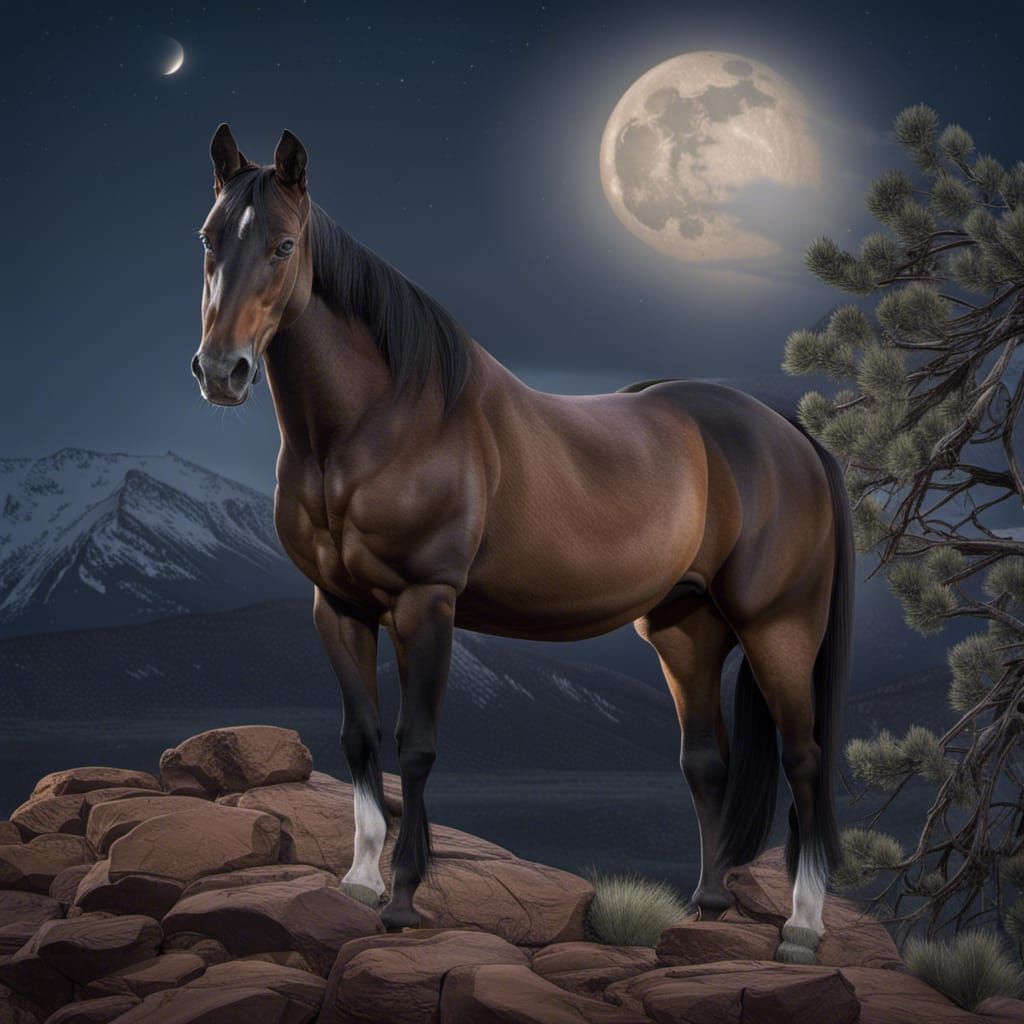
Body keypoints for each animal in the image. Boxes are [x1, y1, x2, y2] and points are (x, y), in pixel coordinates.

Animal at [191, 124, 853, 964]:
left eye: (282, 245)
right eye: (209, 238)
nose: (221, 370)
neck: (378, 421)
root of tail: (792, 436)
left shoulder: (426, 602)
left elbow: (414, 746)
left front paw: (402, 898)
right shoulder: (336, 605)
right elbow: (360, 740)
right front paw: (361, 881)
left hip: (780, 628)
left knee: (805, 761)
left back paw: (801, 928)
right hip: (687, 629)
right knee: (707, 762)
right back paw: (706, 908)